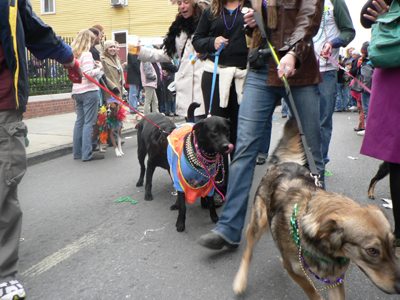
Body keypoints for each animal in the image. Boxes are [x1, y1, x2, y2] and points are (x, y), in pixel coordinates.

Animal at [233, 118, 400, 298]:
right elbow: (312, 291)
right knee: (248, 252)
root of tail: (283, 163)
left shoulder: (335, 280)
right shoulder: (294, 270)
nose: (399, 287)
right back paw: (240, 280)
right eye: (372, 251)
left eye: (393, 244)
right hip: (259, 223)